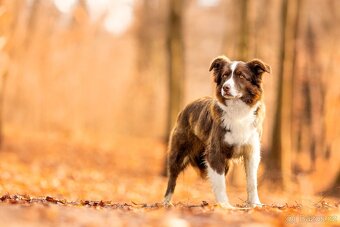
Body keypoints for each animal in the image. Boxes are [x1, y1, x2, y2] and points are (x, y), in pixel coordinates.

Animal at [163, 55, 270, 208]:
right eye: (225, 75)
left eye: (241, 76)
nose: (225, 88)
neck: (237, 111)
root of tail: (186, 107)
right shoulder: (215, 152)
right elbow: (220, 184)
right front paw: (225, 206)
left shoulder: (251, 151)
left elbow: (252, 182)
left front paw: (255, 204)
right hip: (178, 153)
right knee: (172, 178)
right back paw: (166, 203)